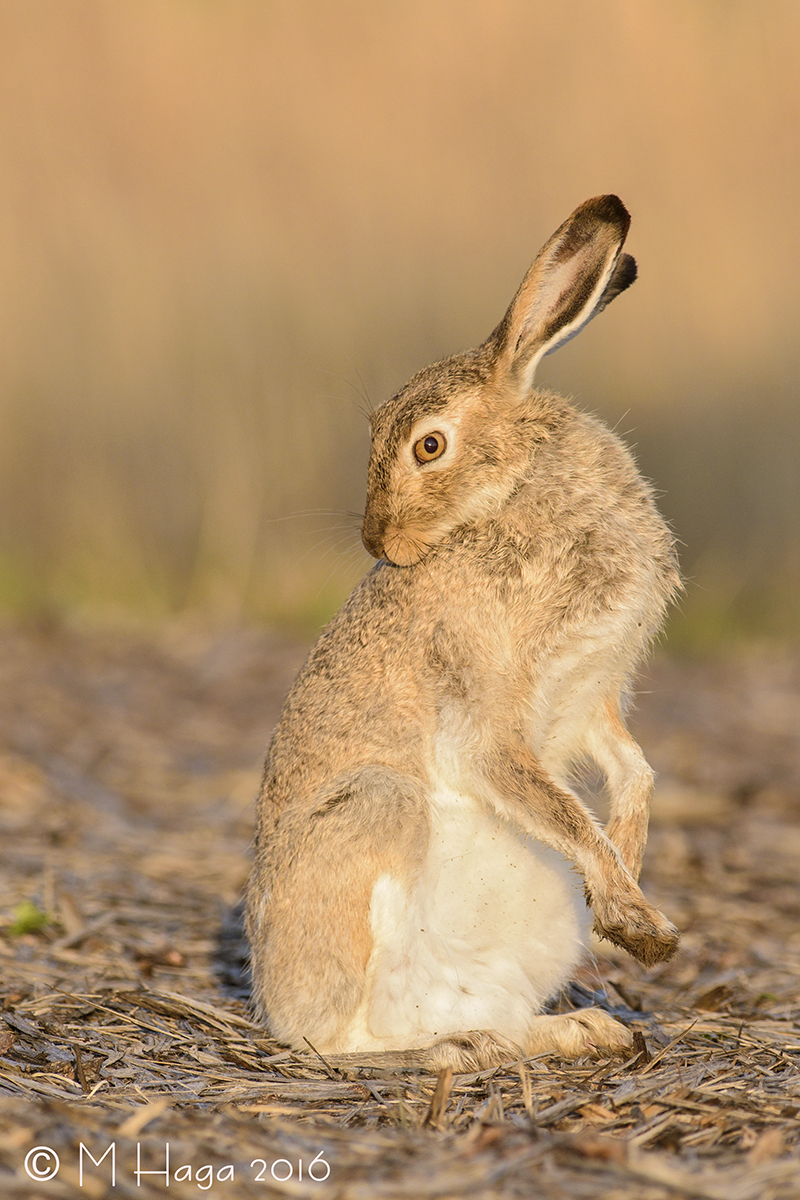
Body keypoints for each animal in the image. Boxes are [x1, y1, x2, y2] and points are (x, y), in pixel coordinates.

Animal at [246, 195, 681, 1072]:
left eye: (429, 445)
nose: (377, 541)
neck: (513, 486)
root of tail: (272, 1004)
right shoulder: (490, 709)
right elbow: (547, 796)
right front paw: (637, 913)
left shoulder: (593, 691)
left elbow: (636, 771)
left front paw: (632, 888)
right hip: (377, 807)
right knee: (351, 1035)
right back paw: (460, 1044)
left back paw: (575, 1030)